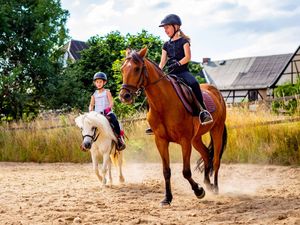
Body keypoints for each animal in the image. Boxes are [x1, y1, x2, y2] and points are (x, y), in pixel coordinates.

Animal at [119, 47, 227, 206]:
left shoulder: (185, 141)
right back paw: (207, 184)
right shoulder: (161, 141)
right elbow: (166, 171)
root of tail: (216, 91)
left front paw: (198, 191)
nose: (124, 96)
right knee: (206, 156)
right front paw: (167, 198)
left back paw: (215, 188)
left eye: (137, 68)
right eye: (122, 69)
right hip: (196, 138)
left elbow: (186, 171)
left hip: (216, 130)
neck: (164, 103)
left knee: (216, 161)